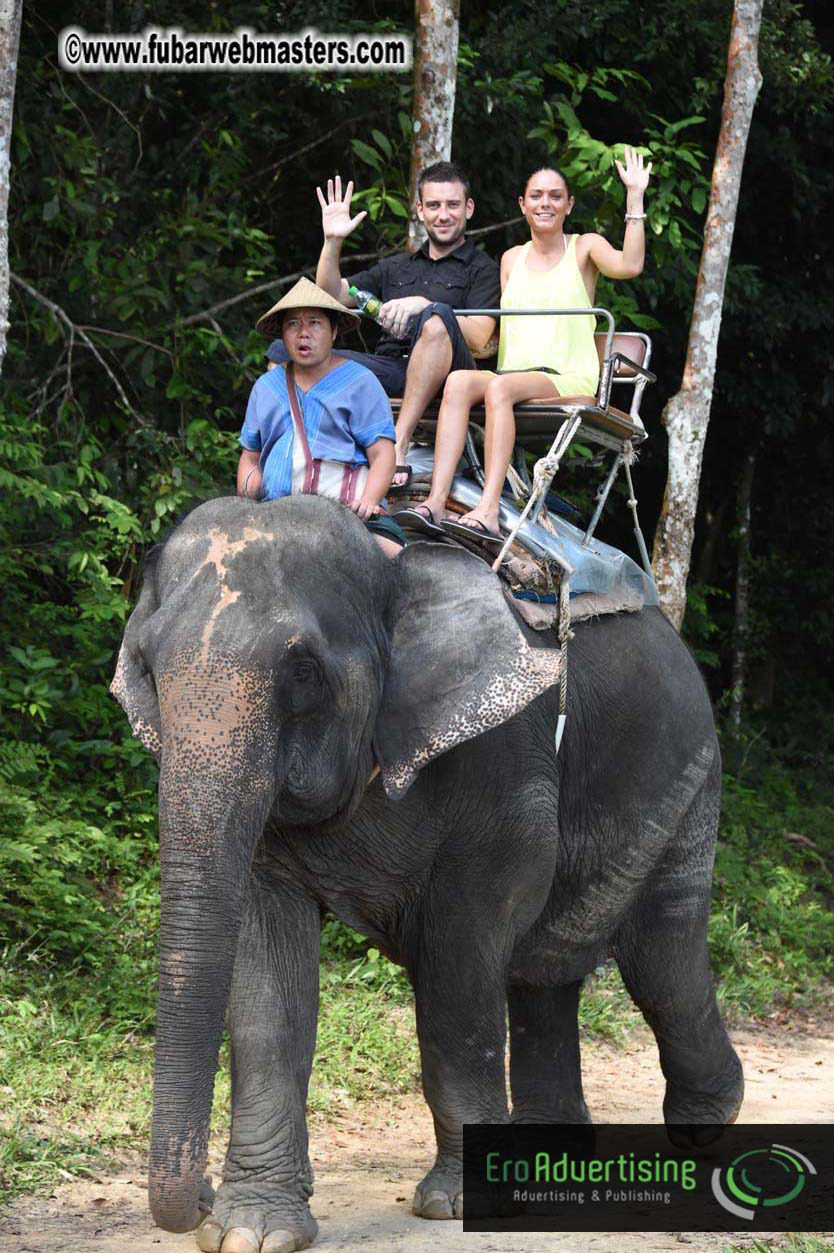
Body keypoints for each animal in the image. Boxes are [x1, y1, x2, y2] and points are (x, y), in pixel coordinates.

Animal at [111, 493, 743, 1252]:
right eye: (147, 669)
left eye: (302, 670)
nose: (199, 1194)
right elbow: (269, 977)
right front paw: (251, 1230)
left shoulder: (503, 760)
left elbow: (458, 961)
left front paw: (462, 1203)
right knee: (547, 971)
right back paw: (545, 1160)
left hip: (688, 776)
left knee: (660, 959)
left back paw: (706, 1125)